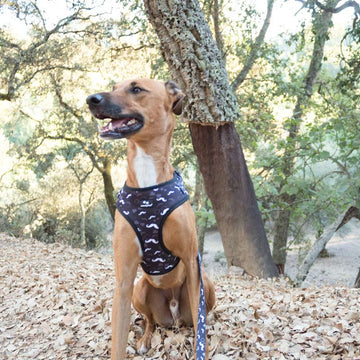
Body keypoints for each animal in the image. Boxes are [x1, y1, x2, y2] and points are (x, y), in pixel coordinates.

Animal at [86, 79, 217, 360]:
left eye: (136, 89)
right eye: (115, 86)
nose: (91, 99)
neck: (148, 182)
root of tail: (174, 312)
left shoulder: (192, 264)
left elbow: (200, 323)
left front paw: (202, 347)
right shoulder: (124, 280)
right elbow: (118, 341)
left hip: (206, 285)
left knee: (198, 319)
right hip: (140, 290)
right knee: (150, 321)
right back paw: (146, 339)